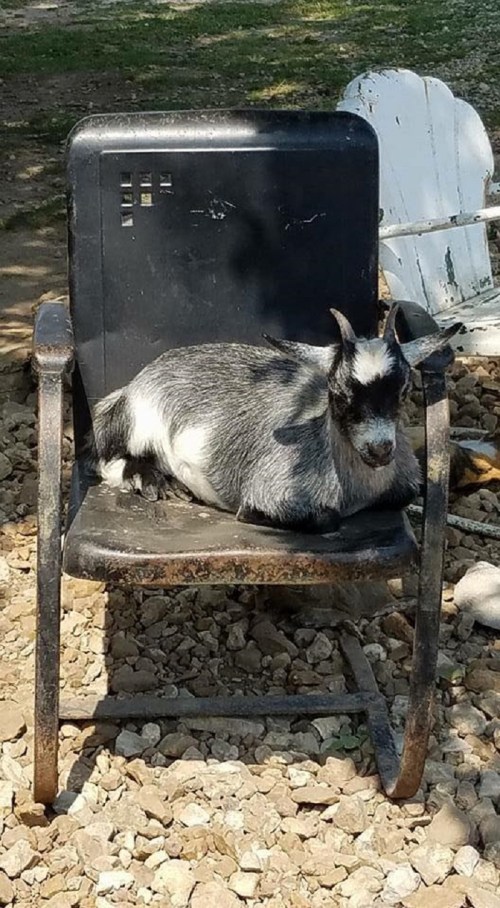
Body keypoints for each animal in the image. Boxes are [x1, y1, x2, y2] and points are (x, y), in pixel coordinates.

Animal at [90, 305, 461, 533]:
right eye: (338, 393)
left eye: (403, 391)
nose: (380, 449)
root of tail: (132, 386)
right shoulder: (273, 492)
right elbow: (324, 519)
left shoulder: (404, 484)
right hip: (138, 422)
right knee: (105, 460)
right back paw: (152, 481)